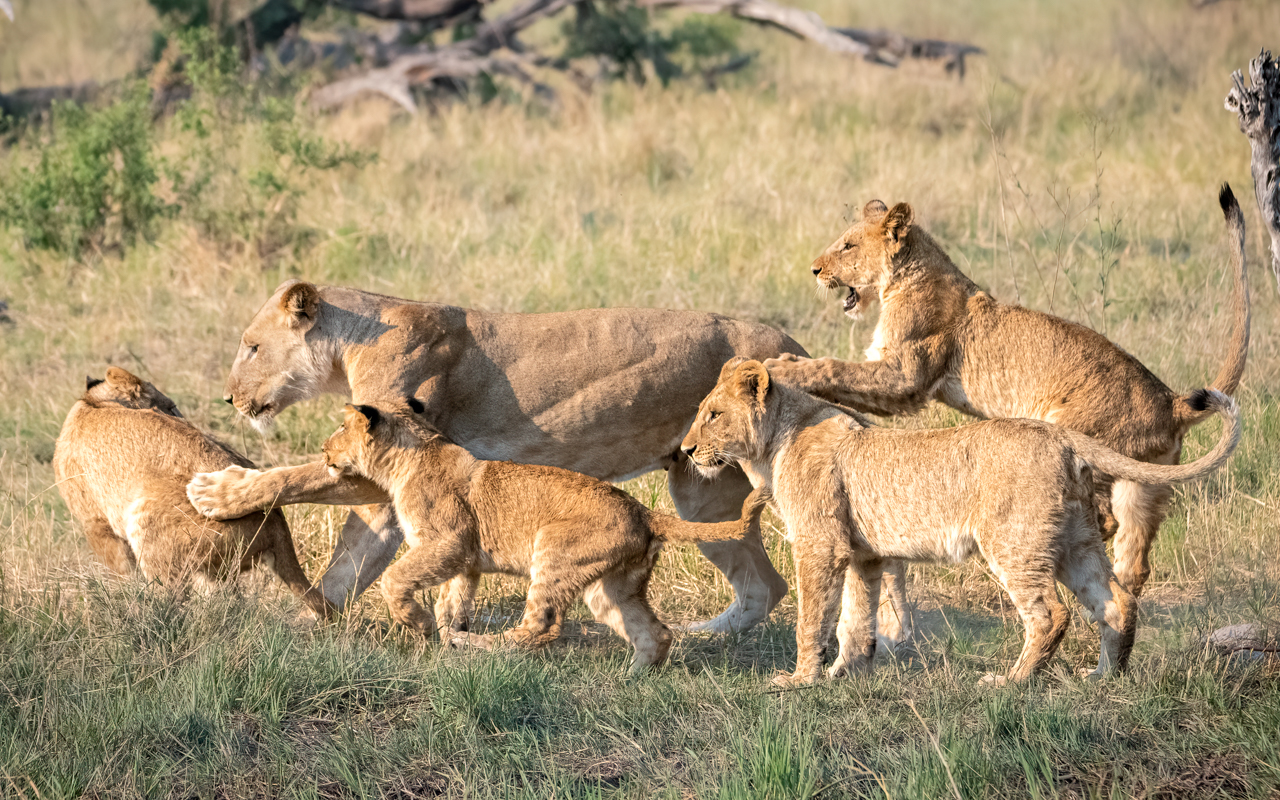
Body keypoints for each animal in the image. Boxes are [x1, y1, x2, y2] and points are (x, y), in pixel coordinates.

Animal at [54, 367, 333, 619]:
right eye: (171, 406)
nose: (181, 416)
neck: (95, 401)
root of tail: (277, 523)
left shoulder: (96, 524)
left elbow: (123, 575)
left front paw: (125, 600)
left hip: (146, 520)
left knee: (172, 601)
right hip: (214, 568)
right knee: (228, 604)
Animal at [184, 282, 807, 634]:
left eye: (252, 347)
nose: (229, 399)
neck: (356, 338)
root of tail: (791, 343)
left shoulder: (386, 456)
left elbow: (293, 478)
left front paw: (214, 491)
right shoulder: (392, 482)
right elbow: (351, 563)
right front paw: (313, 624)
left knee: (772, 578)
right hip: (702, 490)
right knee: (764, 585)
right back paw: (706, 633)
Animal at [321, 400, 770, 672]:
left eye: (341, 426)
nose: (323, 449)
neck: (409, 456)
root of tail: (644, 511)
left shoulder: (448, 541)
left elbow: (394, 579)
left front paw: (422, 625)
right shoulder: (464, 560)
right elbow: (453, 601)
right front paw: (442, 637)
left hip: (552, 550)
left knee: (542, 627)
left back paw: (481, 646)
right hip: (611, 587)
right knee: (654, 632)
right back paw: (633, 678)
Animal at [682, 359, 1240, 686]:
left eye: (712, 415)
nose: (685, 450)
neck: (775, 443)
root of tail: (1060, 435)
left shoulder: (821, 546)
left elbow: (813, 618)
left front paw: (800, 681)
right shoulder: (864, 554)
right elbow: (853, 620)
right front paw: (846, 672)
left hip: (1014, 543)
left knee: (1050, 615)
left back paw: (1011, 683)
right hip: (1076, 542)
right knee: (1116, 603)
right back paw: (1104, 678)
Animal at [764, 185, 1249, 646]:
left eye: (847, 245)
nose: (814, 269)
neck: (911, 271)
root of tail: (1170, 401)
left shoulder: (905, 375)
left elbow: (834, 367)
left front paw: (782, 366)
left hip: (1075, 434)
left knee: (1096, 524)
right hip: (1144, 489)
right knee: (1131, 560)